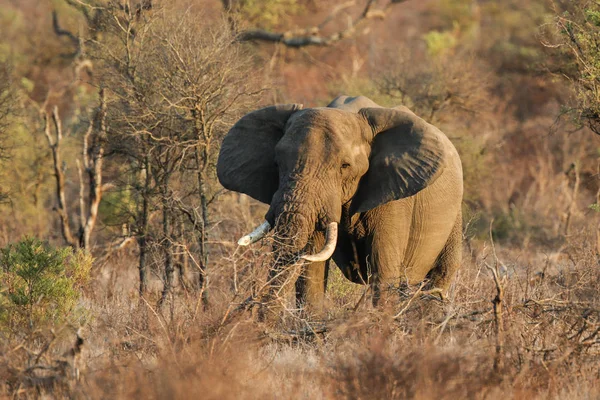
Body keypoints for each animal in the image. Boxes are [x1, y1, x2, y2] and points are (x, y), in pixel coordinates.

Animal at [216, 95, 464, 310]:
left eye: (345, 166)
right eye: (277, 163)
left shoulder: (395, 195)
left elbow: (383, 268)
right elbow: (311, 273)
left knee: (437, 279)